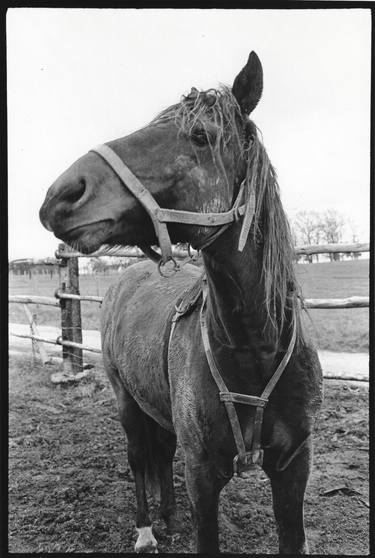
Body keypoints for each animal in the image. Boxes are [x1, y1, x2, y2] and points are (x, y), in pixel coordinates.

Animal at [39, 51, 324, 556]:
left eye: (200, 136)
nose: (63, 194)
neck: (256, 349)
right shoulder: (202, 474)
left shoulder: (294, 468)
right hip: (126, 401)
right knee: (138, 459)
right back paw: (146, 530)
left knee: (161, 452)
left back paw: (169, 518)